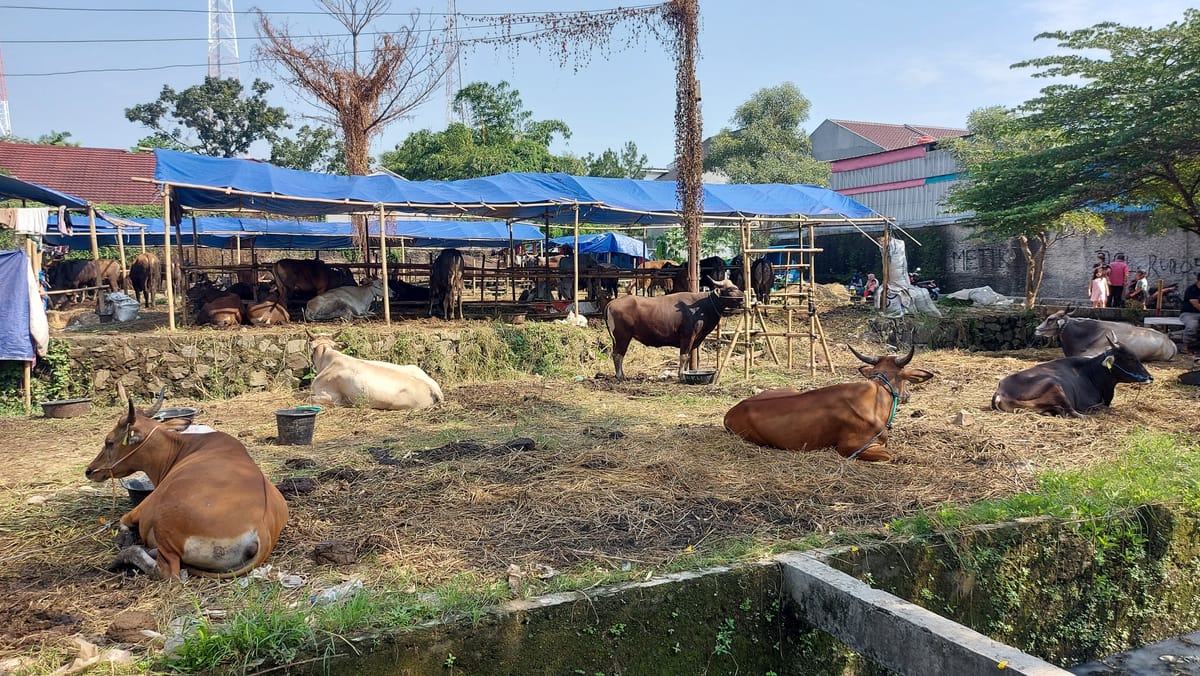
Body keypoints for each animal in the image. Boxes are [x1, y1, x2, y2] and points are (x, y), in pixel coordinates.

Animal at [84, 389, 288, 578]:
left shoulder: (144, 507)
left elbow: (123, 521)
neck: (181, 448)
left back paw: (124, 556)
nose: (89, 470)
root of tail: (261, 529)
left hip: (163, 524)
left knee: (167, 571)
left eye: (109, 442)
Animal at [609, 276, 739, 381]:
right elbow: (684, 356)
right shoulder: (687, 336)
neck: (701, 306)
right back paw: (620, 376)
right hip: (623, 336)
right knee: (617, 355)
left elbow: (688, 357)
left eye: (736, 286)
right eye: (729, 289)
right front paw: (681, 375)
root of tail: (611, 304)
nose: (742, 297)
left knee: (618, 354)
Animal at [720, 345, 936, 463]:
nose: (908, 395)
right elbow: (891, 454)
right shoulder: (850, 447)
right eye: (906, 379)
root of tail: (731, 412)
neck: (878, 396)